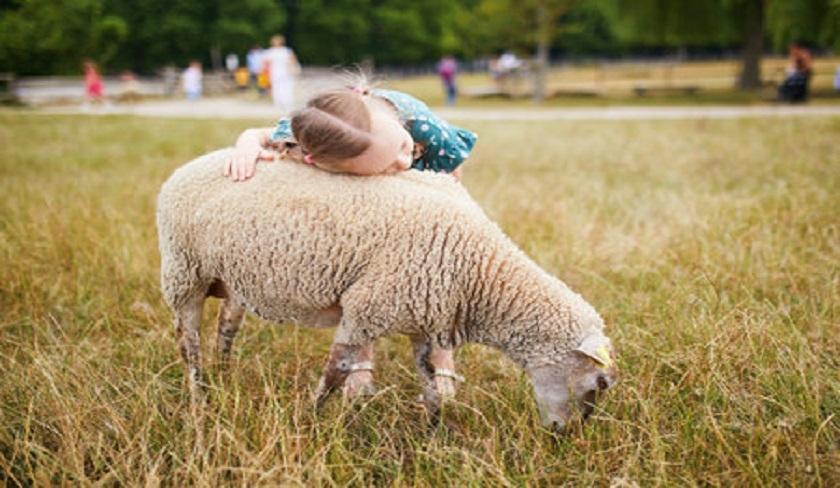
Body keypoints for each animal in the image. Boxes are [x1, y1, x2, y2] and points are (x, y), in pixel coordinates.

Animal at [158, 149, 616, 430]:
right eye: (600, 383)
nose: (564, 436)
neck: (480, 274)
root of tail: (185, 167)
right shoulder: (365, 310)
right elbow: (336, 372)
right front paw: (312, 419)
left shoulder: (423, 319)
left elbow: (430, 379)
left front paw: (435, 430)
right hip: (183, 272)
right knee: (187, 340)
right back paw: (200, 395)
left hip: (231, 278)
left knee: (226, 328)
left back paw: (224, 374)